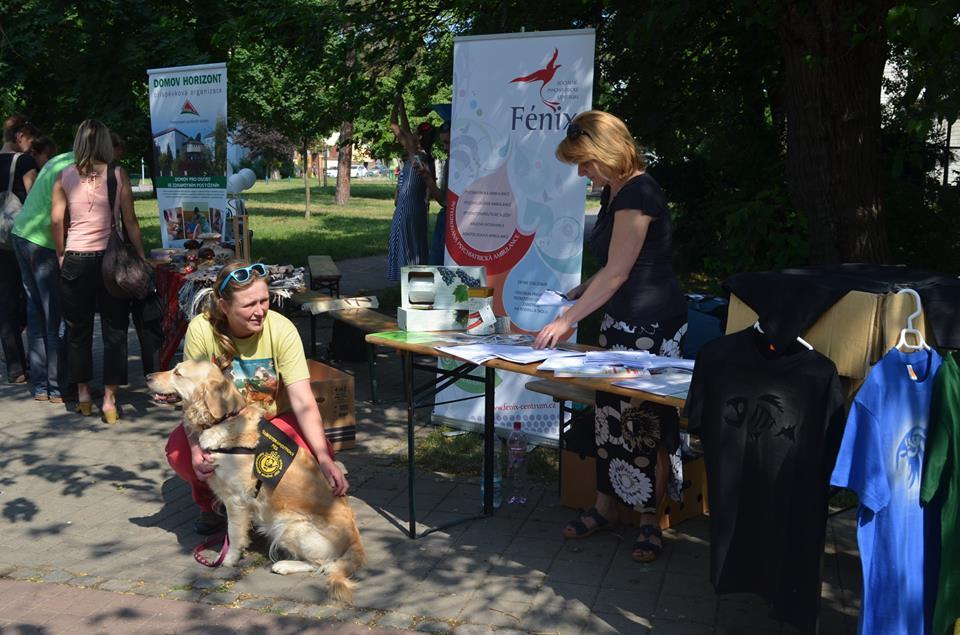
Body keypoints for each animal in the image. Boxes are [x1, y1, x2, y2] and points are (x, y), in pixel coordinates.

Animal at [148, 360, 366, 604]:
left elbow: (233, 534)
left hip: (289, 525)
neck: (224, 420)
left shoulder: (236, 499)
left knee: (321, 564)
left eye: (177, 373)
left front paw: (228, 559)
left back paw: (284, 565)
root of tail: (356, 542)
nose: (147, 376)